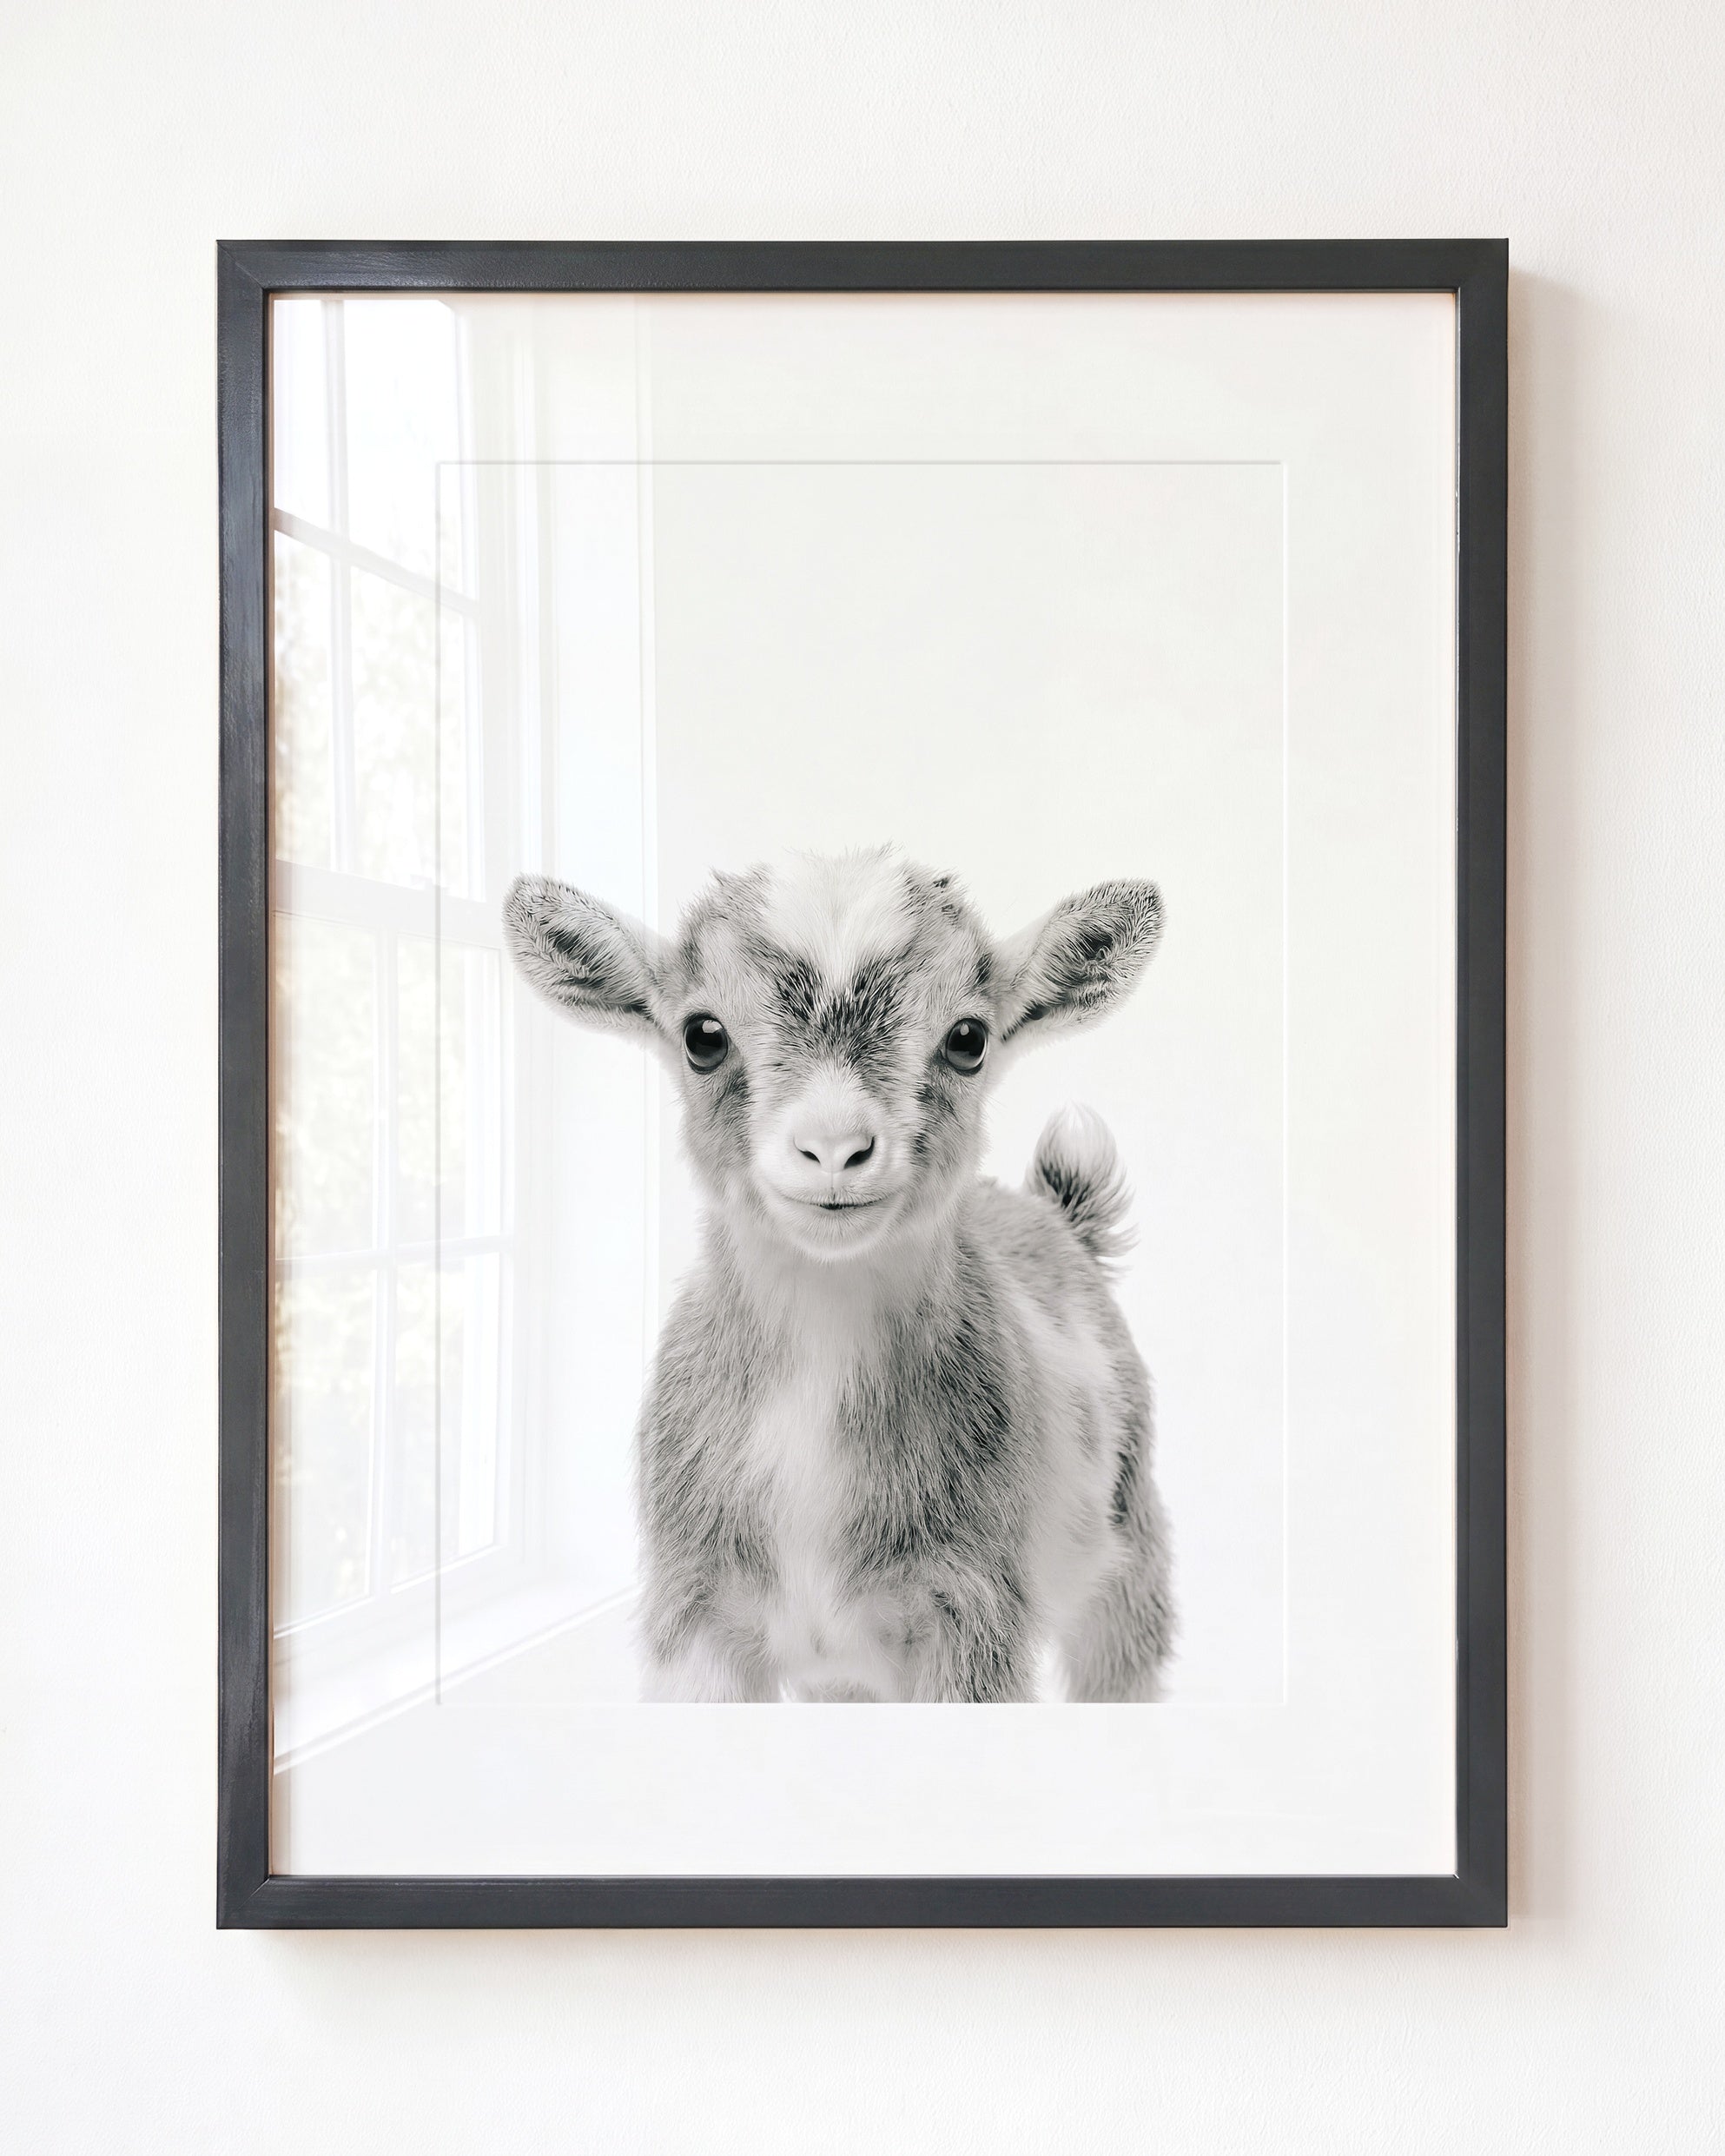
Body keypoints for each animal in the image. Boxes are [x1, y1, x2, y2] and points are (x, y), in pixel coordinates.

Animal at [503, 847, 1175, 1702]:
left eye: (968, 1038)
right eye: (702, 1035)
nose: (833, 1149)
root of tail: (1058, 1218)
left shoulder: (973, 1614)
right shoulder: (696, 1615)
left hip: (1130, 1552)